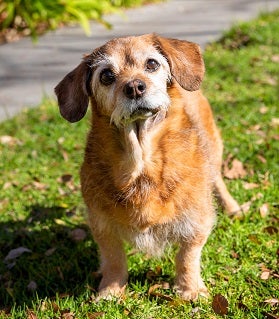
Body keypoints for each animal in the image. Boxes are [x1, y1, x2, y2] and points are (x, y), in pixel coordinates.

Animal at [54, 33, 241, 302]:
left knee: (218, 181)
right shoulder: (102, 224)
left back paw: (233, 208)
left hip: (214, 153)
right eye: (106, 75)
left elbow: (187, 256)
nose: (134, 87)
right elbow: (114, 259)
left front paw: (190, 289)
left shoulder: (196, 220)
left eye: (152, 64)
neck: (141, 165)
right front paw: (111, 290)